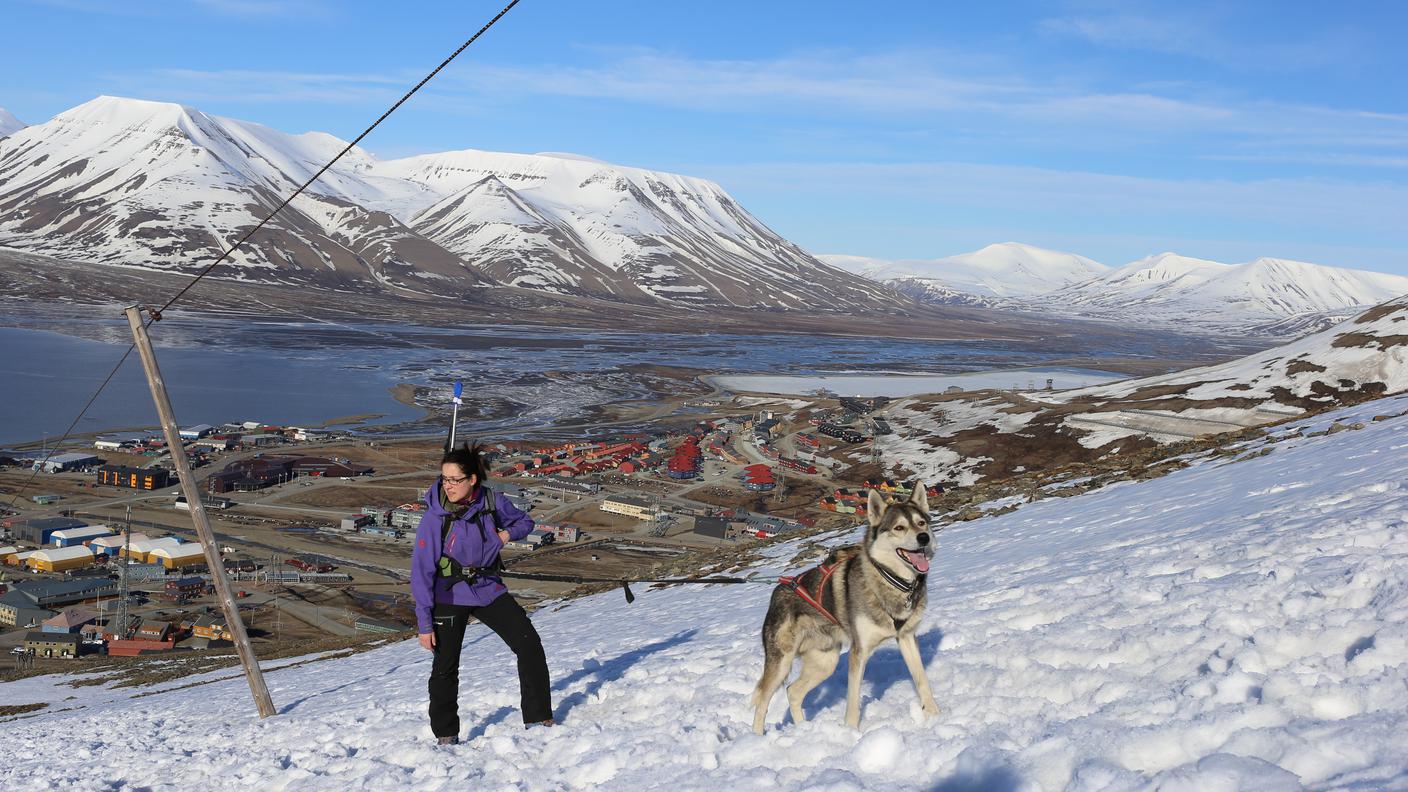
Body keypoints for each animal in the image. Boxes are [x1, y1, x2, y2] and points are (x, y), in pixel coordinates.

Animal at [749, 484, 934, 732]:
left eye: (921, 522)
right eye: (899, 527)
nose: (924, 537)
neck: (891, 581)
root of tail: (779, 589)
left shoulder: (906, 637)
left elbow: (922, 680)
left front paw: (935, 715)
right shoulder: (859, 652)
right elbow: (853, 701)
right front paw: (851, 733)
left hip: (825, 662)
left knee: (793, 692)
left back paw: (803, 730)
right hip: (781, 662)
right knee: (763, 700)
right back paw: (757, 735)